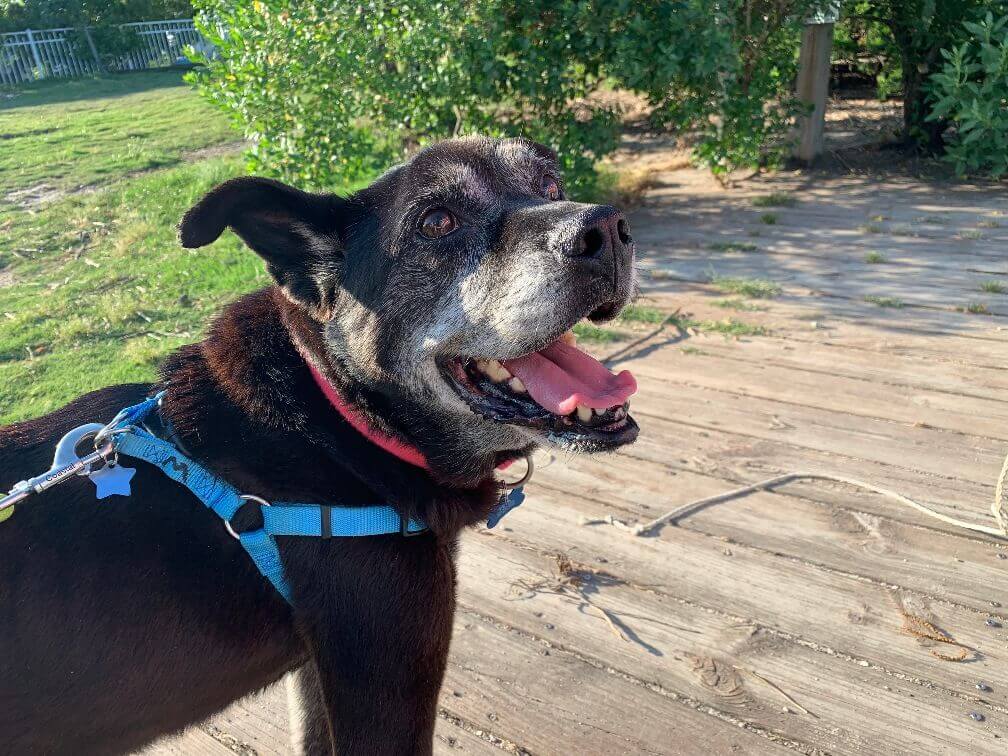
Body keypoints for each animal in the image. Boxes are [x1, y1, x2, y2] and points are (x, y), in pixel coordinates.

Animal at [0, 138, 637, 756]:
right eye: (437, 221)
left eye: (550, 185)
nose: (607, 228)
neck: (338, 424)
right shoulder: (388, 685)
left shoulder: (318, 673)